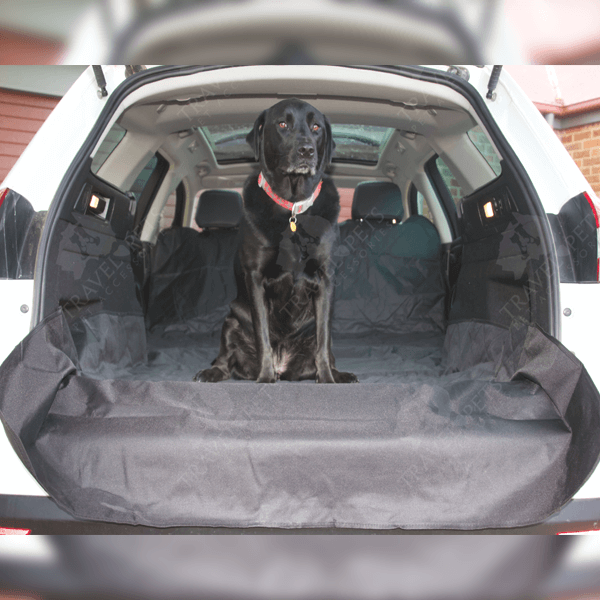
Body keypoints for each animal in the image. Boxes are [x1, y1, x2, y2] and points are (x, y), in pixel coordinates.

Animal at [196, 96, 356, 382]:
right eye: (282, 124)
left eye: (316, 127)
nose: (306, 151)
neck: (292, 206)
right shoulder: (256, 277)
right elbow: (263, 338)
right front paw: (264, 378)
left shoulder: (325, 279)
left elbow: (323, 341)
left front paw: (327, 379)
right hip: (232, 320)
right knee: (225, 356)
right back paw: (214, 372)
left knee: (326, 346)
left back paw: (340, 374)